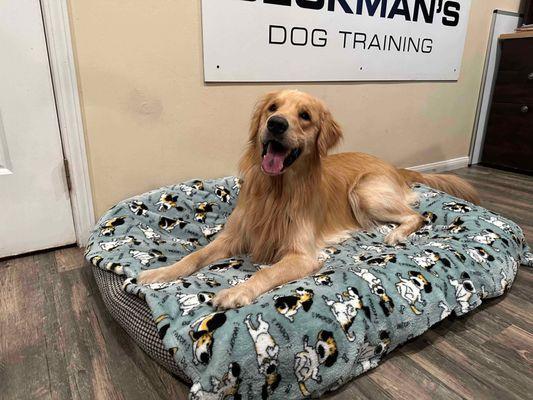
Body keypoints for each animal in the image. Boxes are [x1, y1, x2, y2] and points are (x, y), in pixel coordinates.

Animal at [138, 90, 478, 310]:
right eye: (272, 107)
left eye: (305, 116)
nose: (276, 123)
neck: (276, 190)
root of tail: (393, 166)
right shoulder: (233, 236)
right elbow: (194, 257)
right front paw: (160, 273)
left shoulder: (302, 255)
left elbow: (266, 271)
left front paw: (239, 291)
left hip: (363, 192)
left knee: (416, 216)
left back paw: (395, 234)